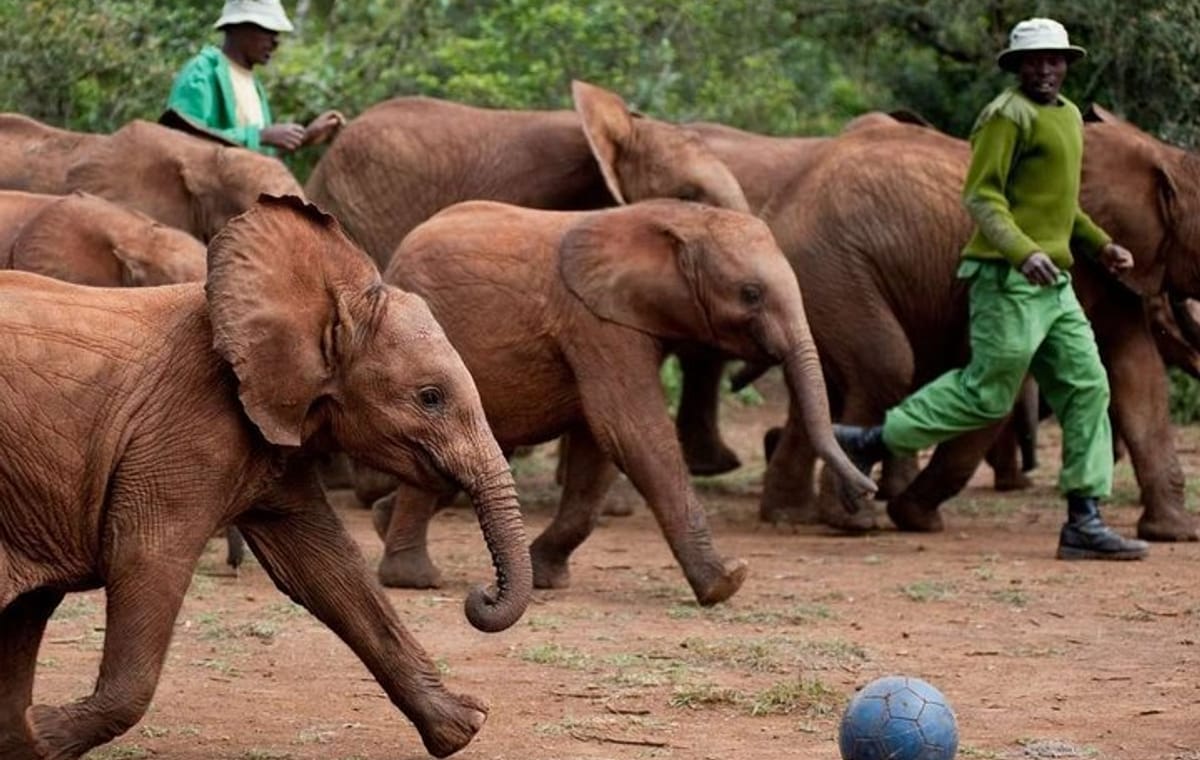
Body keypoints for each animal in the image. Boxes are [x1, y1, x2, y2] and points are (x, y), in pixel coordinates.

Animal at [366, 198, 877, 606]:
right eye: (750, 294)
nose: (865, 493)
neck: (678, 219)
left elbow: (597, 450)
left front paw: (547, 577)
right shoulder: (598, 324)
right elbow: (631, 431)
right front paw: (726, 583)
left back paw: (381, 523)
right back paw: (414, 579)